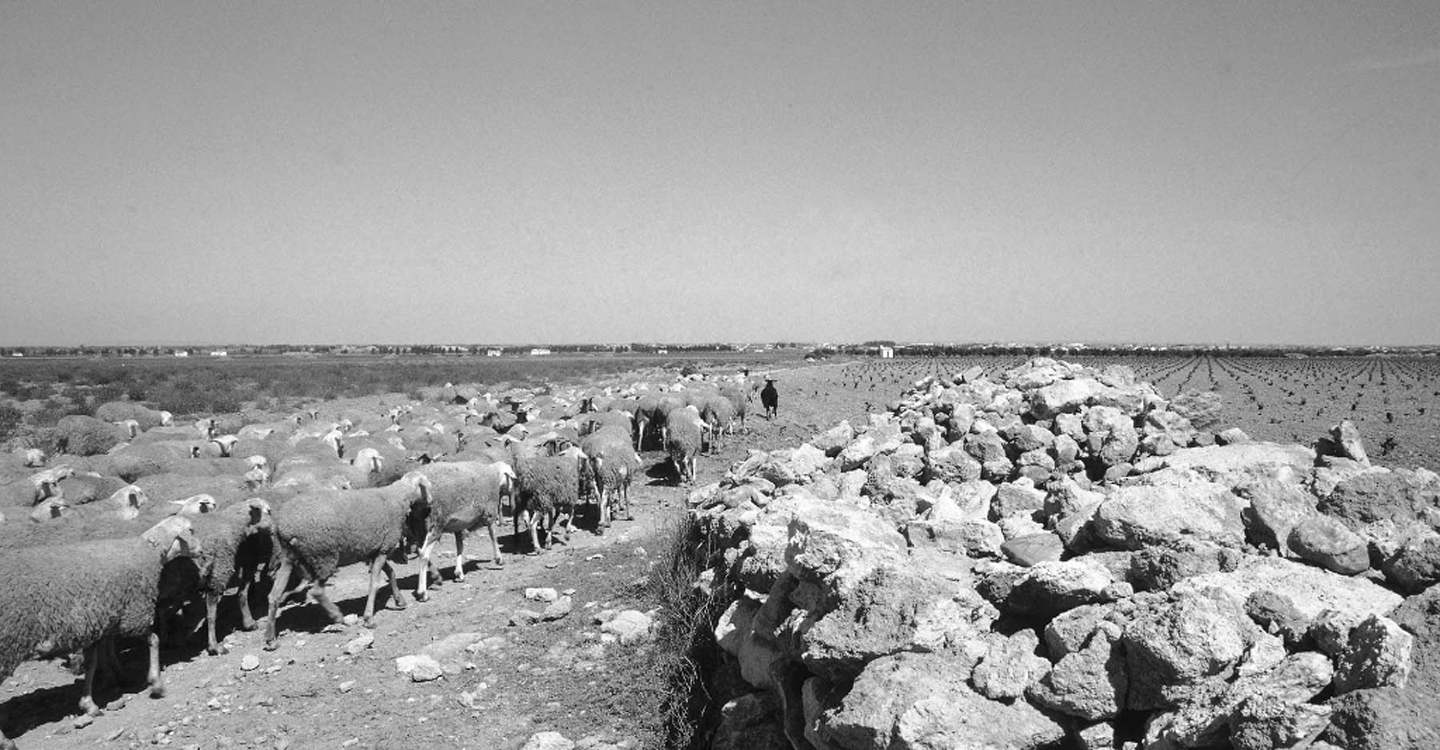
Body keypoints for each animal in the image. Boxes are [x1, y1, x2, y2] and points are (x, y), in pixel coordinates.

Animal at [0, 515, 203, 737]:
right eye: (191, 529)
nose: (202, 550)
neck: (147, 552)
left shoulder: (99, 624)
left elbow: (94, 662)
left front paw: (90, 702)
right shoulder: (133, 617)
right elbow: (154, 640)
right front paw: (156, 683)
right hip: (8, 643)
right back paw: (7, 741)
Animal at [256, 472, 432, 644]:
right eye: (427, 485)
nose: (431, 501)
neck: (396, 498)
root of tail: (284, 527)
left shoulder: (373, 552)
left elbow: (391, 572)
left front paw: (399, 599)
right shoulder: (383, 549)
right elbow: (374, 583)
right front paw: (369, 618)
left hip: (288, 558)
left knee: (274, 595)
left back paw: (270, 638)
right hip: (324, 555)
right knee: (317, 591)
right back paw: (338, 616)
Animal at [408, 457, 515, 598]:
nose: (513, 490)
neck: (494, 476)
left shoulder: (458, 526)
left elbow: (460, 547)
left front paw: (459, 573)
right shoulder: (489, 513)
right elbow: (493, 535)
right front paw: (499, 558)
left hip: (418, 526)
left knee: (419, 550)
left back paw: (436, 576)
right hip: (436, 524)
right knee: (424, 553)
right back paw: (422, 592)